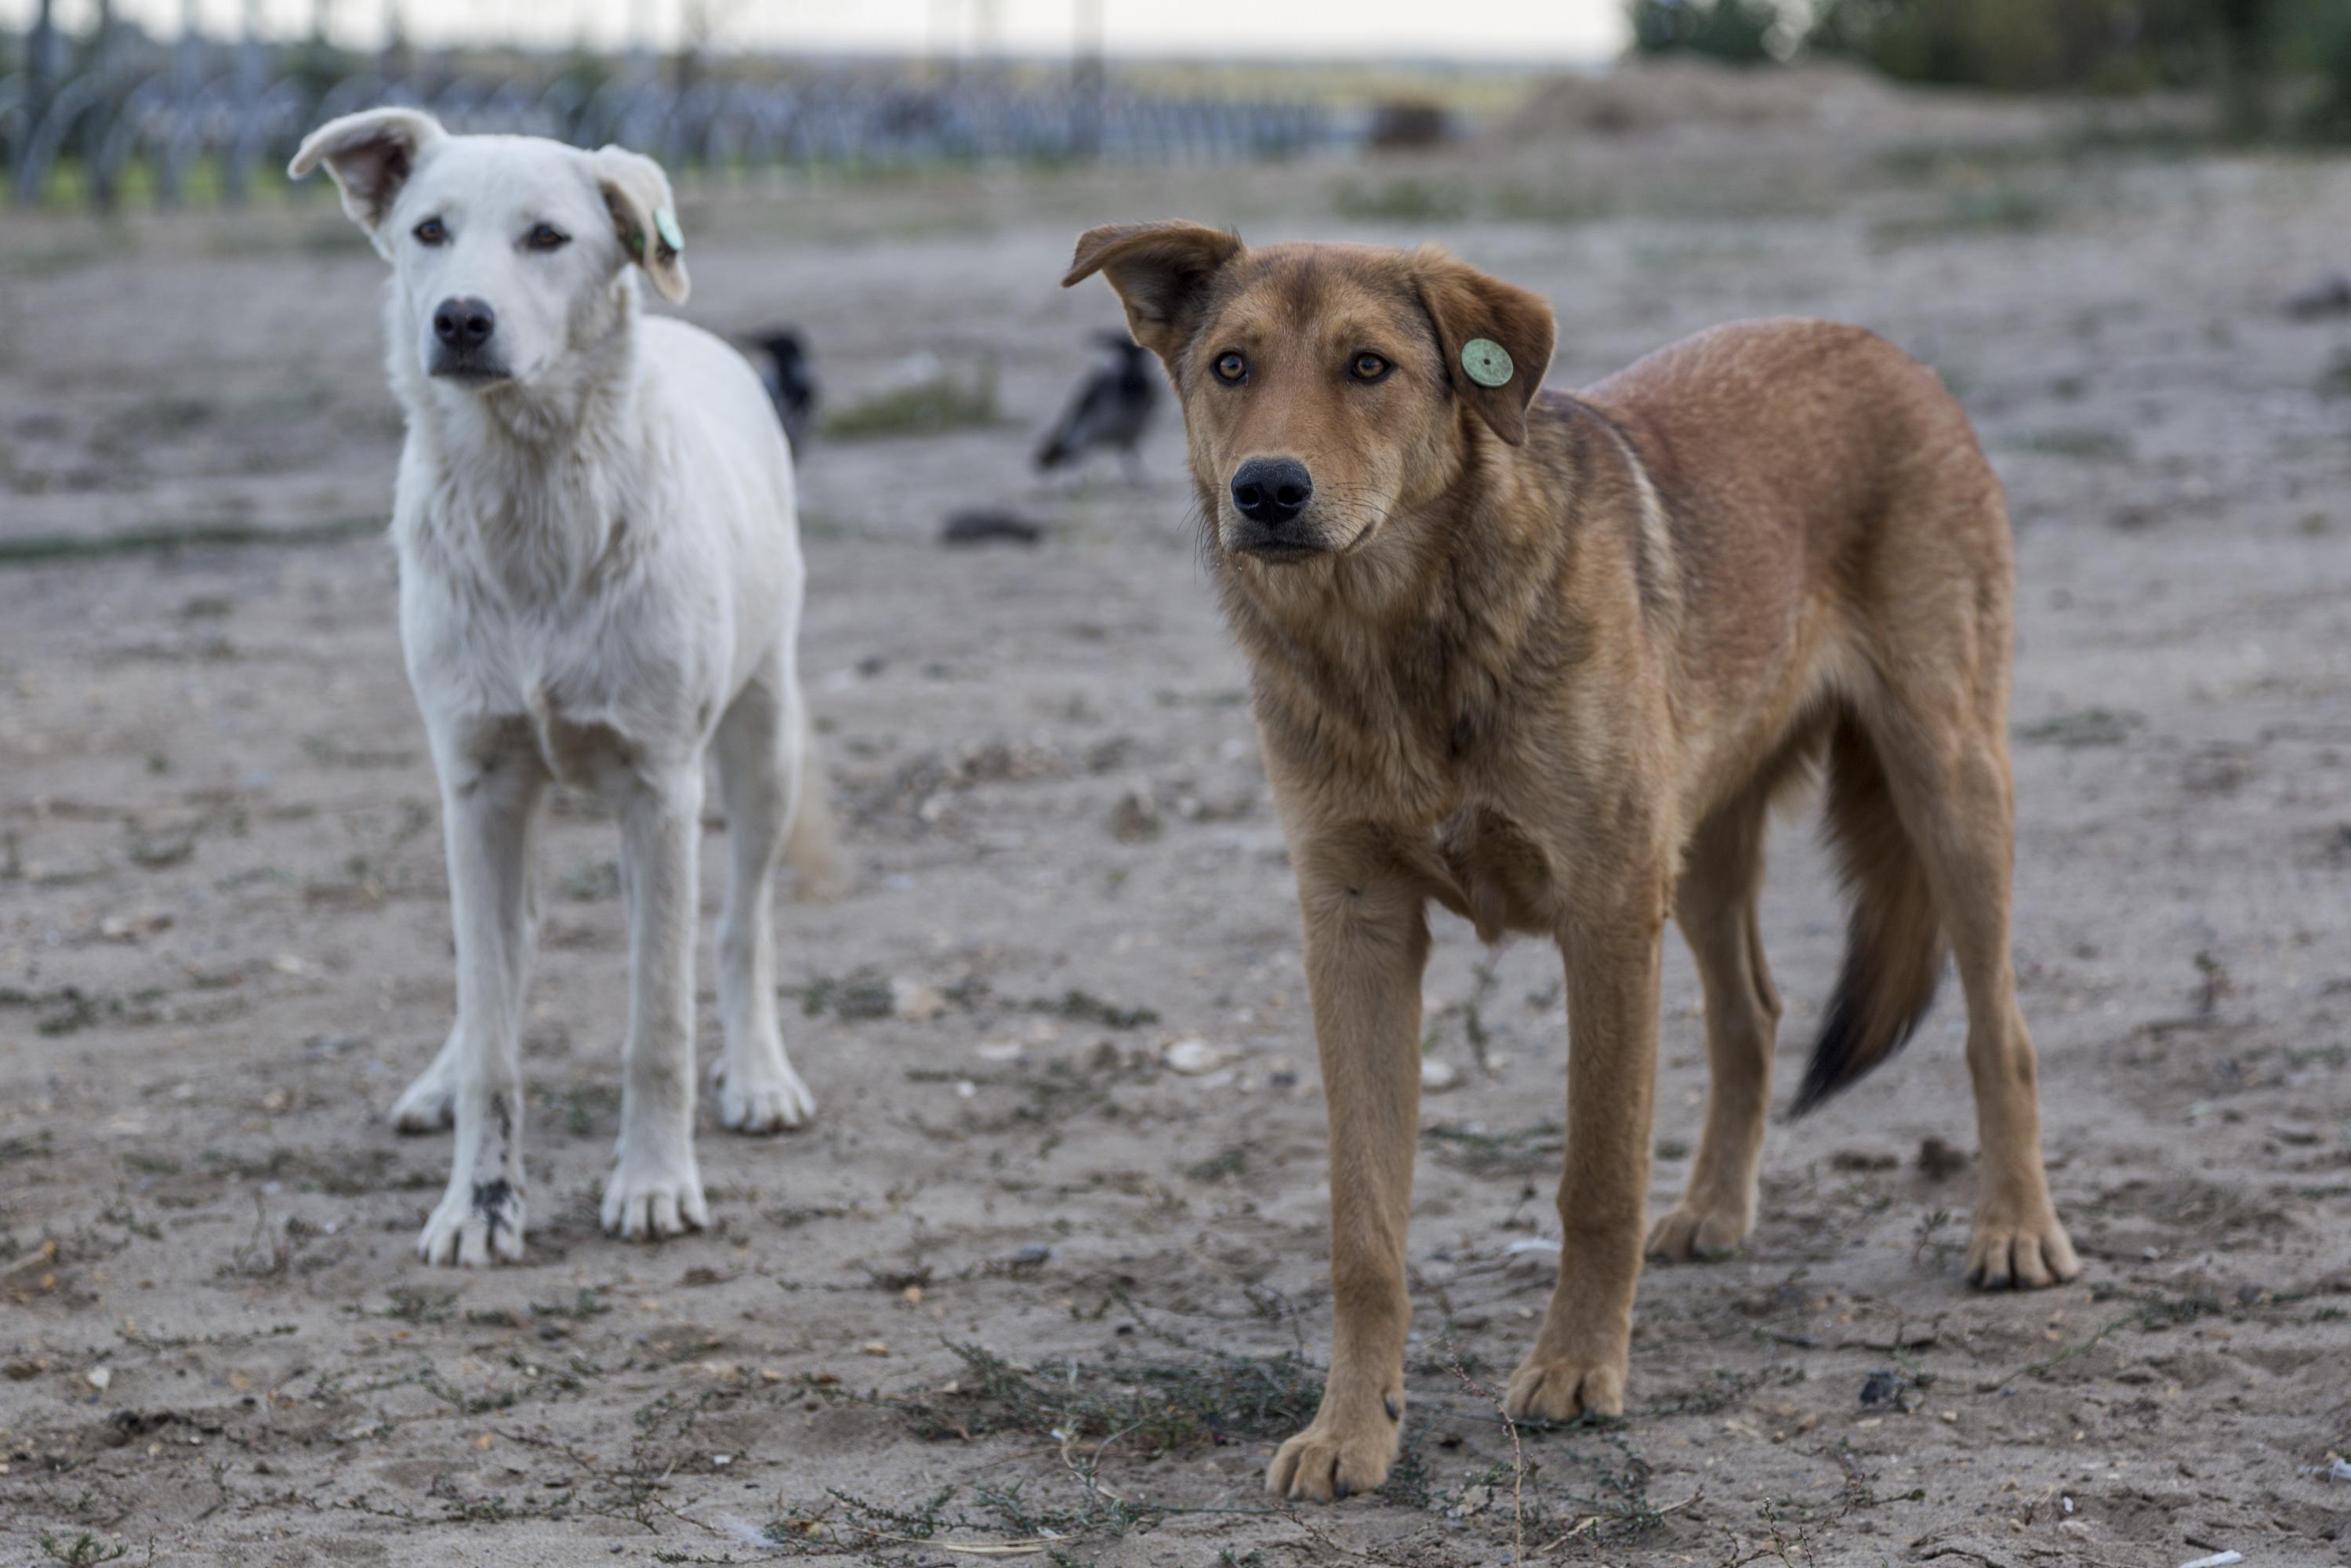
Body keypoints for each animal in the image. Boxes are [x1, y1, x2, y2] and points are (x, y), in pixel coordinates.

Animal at [288, 107, 836, 1260]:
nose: (458, 319)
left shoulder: (660, 789)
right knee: (510, 948)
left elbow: (657, 1021)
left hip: (763, 739)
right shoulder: (479, 784)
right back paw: (442, 1076)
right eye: (429, 231)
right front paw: (478, 1203)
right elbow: (497, 1027)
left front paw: (655, 1183)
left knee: (743, 922)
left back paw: (759, 1075)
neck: (530, 493)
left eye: (547, 237)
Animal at [1067, 227, 2078, 1504]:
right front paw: (1352, 1426)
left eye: (1367, 366)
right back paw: (1711, 1207)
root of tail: (1878, 348)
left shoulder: (1602, 909)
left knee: (1999, 1026)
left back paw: (2013, 1229)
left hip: (1944, 782)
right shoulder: (1354, 925)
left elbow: (1594, 1176)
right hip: (1699, 848)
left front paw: (1577, 1367)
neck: (1392, 642)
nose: (1267, 491)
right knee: (1750, 1012)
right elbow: (1363, 1227)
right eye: (1229, 368)